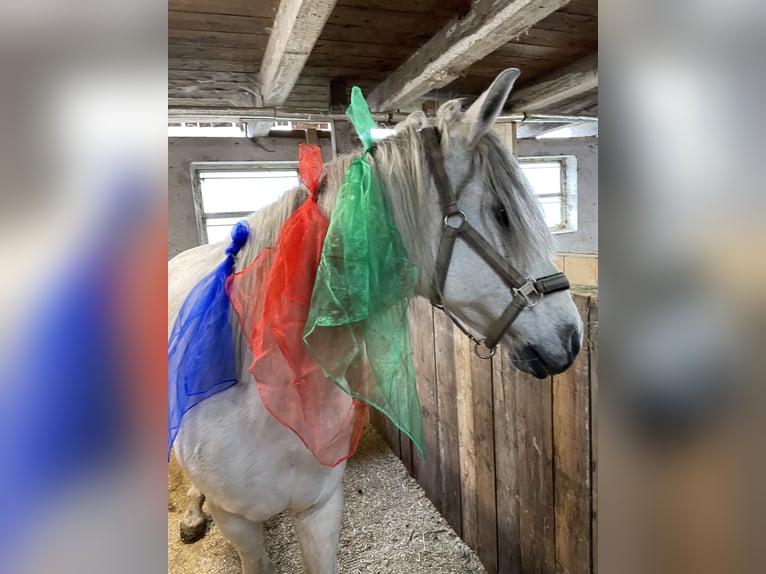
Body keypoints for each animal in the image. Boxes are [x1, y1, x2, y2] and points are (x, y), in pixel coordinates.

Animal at [170, 71, 584, 574]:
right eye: (503, 214)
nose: (572, 338)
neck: (269, 394)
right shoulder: (238, 525)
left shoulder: (320, 508)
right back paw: (192, 516)